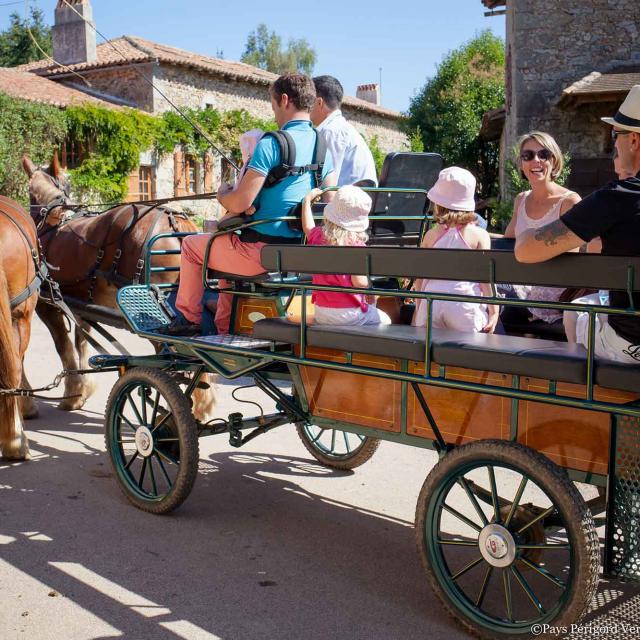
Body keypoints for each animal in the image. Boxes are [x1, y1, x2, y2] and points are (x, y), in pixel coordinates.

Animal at [21, 152, 215, 418]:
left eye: (30, 191)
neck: (52, 221)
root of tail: (175, 222)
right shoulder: (82, 304)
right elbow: (81, 342)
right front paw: (81, 391)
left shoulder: (46, 304)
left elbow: (63, 346)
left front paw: (70, 395)